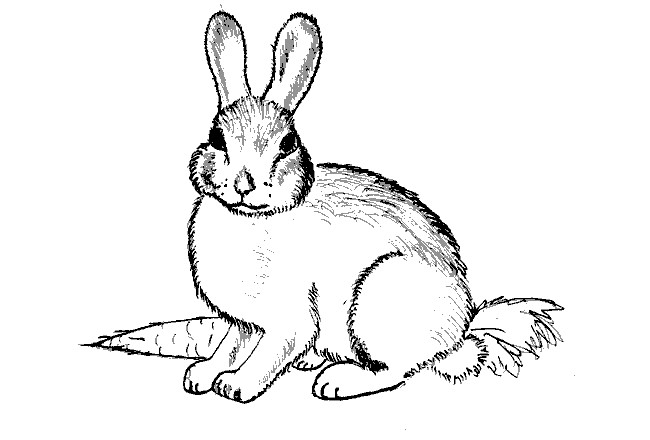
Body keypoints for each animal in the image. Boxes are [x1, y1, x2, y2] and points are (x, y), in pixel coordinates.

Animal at [110, 11, 562, 403]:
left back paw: (337, 381)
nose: (243, 184)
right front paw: (202, 375)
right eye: (217, 138)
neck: (249, 218)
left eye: (287, 145)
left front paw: (237, 386)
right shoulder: (244, 320)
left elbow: (271, 350)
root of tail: (462, 330)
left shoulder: (290, 316)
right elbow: (230, 345)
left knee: (396, 370)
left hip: (378, 298)